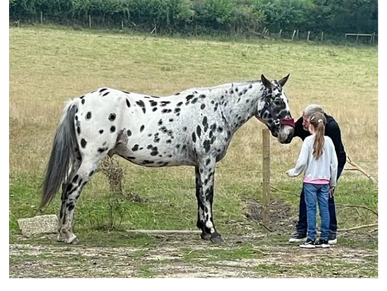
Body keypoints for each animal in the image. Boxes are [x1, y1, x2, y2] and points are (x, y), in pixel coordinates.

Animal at [41, 73, 296, 244]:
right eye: (277, 101)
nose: (288, 133)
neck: (218, 109)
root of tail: (78, 101)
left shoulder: (199, 164)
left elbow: (199, 195)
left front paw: (203, 231)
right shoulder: (207, 161)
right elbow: (208, 195)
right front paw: (213, 232)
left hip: (78, 159)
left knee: (66, 187)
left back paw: (62, 233)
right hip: (90, 160)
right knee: (72, 190)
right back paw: (68, 234)